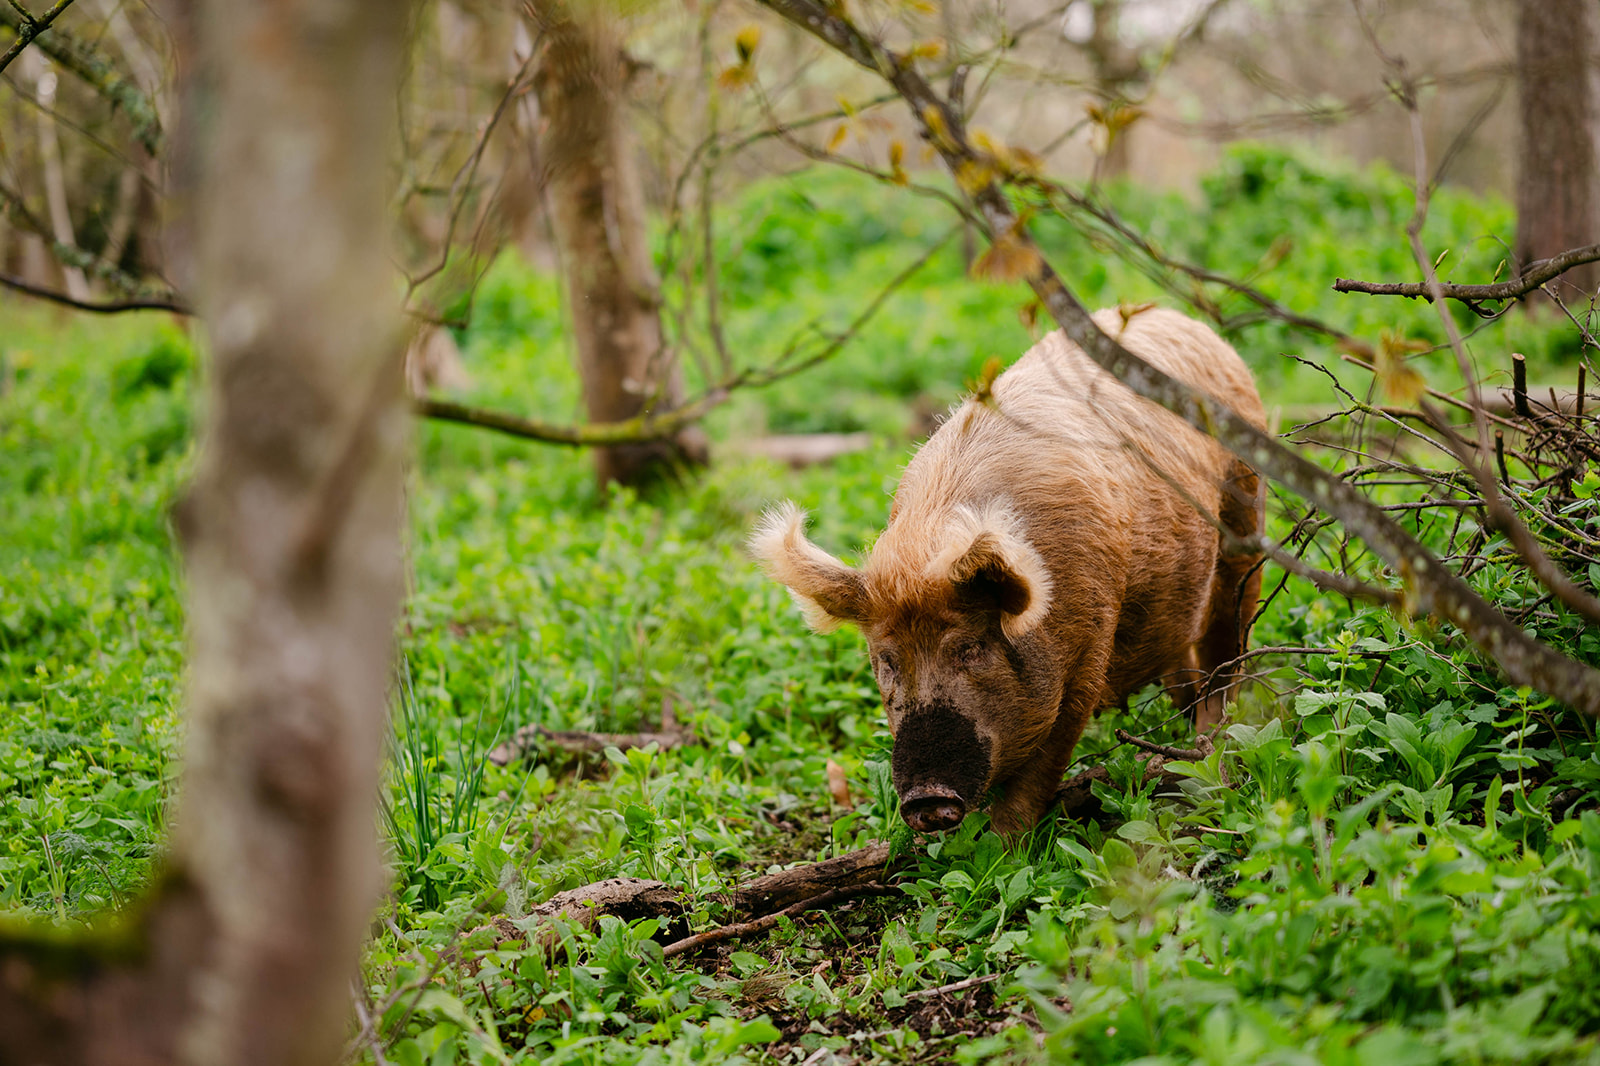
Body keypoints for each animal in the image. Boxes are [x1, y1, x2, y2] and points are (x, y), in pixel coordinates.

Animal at [751, 306, 1267, 835]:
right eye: (888, 659)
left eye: (971, 648)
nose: (926, 799)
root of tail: (1181, 319)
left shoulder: (1090, 643)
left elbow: (1044, 764)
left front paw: (1002, 845)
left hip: (1246, 512)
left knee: (1229, 640)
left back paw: (1212, 742)